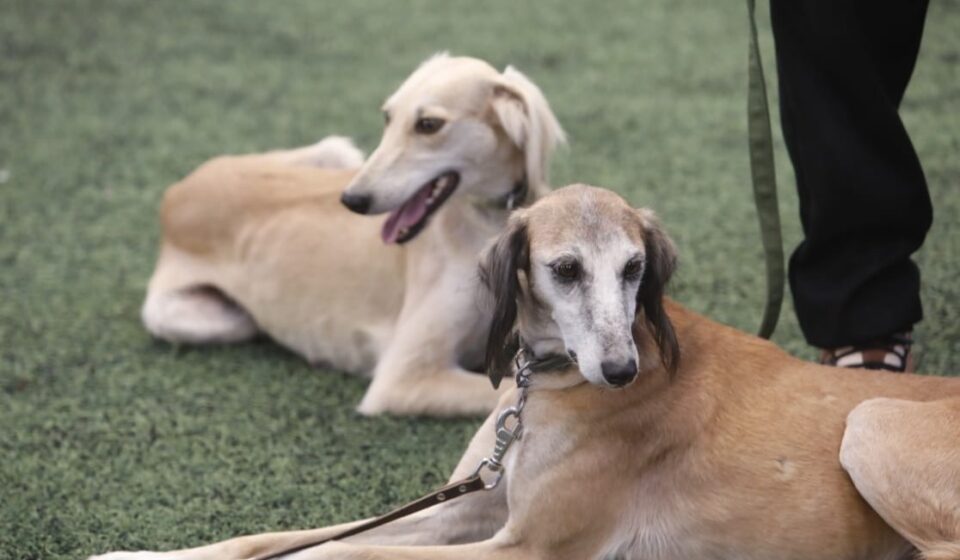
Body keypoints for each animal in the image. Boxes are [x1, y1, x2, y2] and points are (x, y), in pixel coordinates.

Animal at [97, 185, 959, 559]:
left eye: (634, 269)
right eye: (566, 269)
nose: (621, 370)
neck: (549, 385)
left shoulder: (524, 548)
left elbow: (345, 554)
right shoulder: (473, 507)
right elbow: (273, 539)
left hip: (870, 421)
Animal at [141, 54, 565, 416]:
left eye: (428, 124)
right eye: (387, 117)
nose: (352, 200)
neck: (483, 223)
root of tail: (174, 194)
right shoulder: (402, 380)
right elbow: (510, 390)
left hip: (337, 152)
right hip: (189, 317)